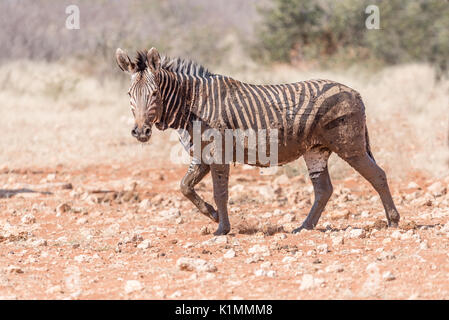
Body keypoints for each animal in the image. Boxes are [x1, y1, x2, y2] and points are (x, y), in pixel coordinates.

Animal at [114, 48, 400, 238]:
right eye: (129, 94)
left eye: (154, 94)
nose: (140, 132)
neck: (192, 105)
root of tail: (355, 92)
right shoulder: (201, 156)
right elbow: (185, 187)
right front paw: (213, 215)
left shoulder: (218, 152)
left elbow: (220, 192)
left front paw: (222, 229)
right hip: (315, 150)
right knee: (324, 189)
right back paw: (303, 228)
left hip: (349, 146)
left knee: (377, 175)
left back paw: (393, 221)